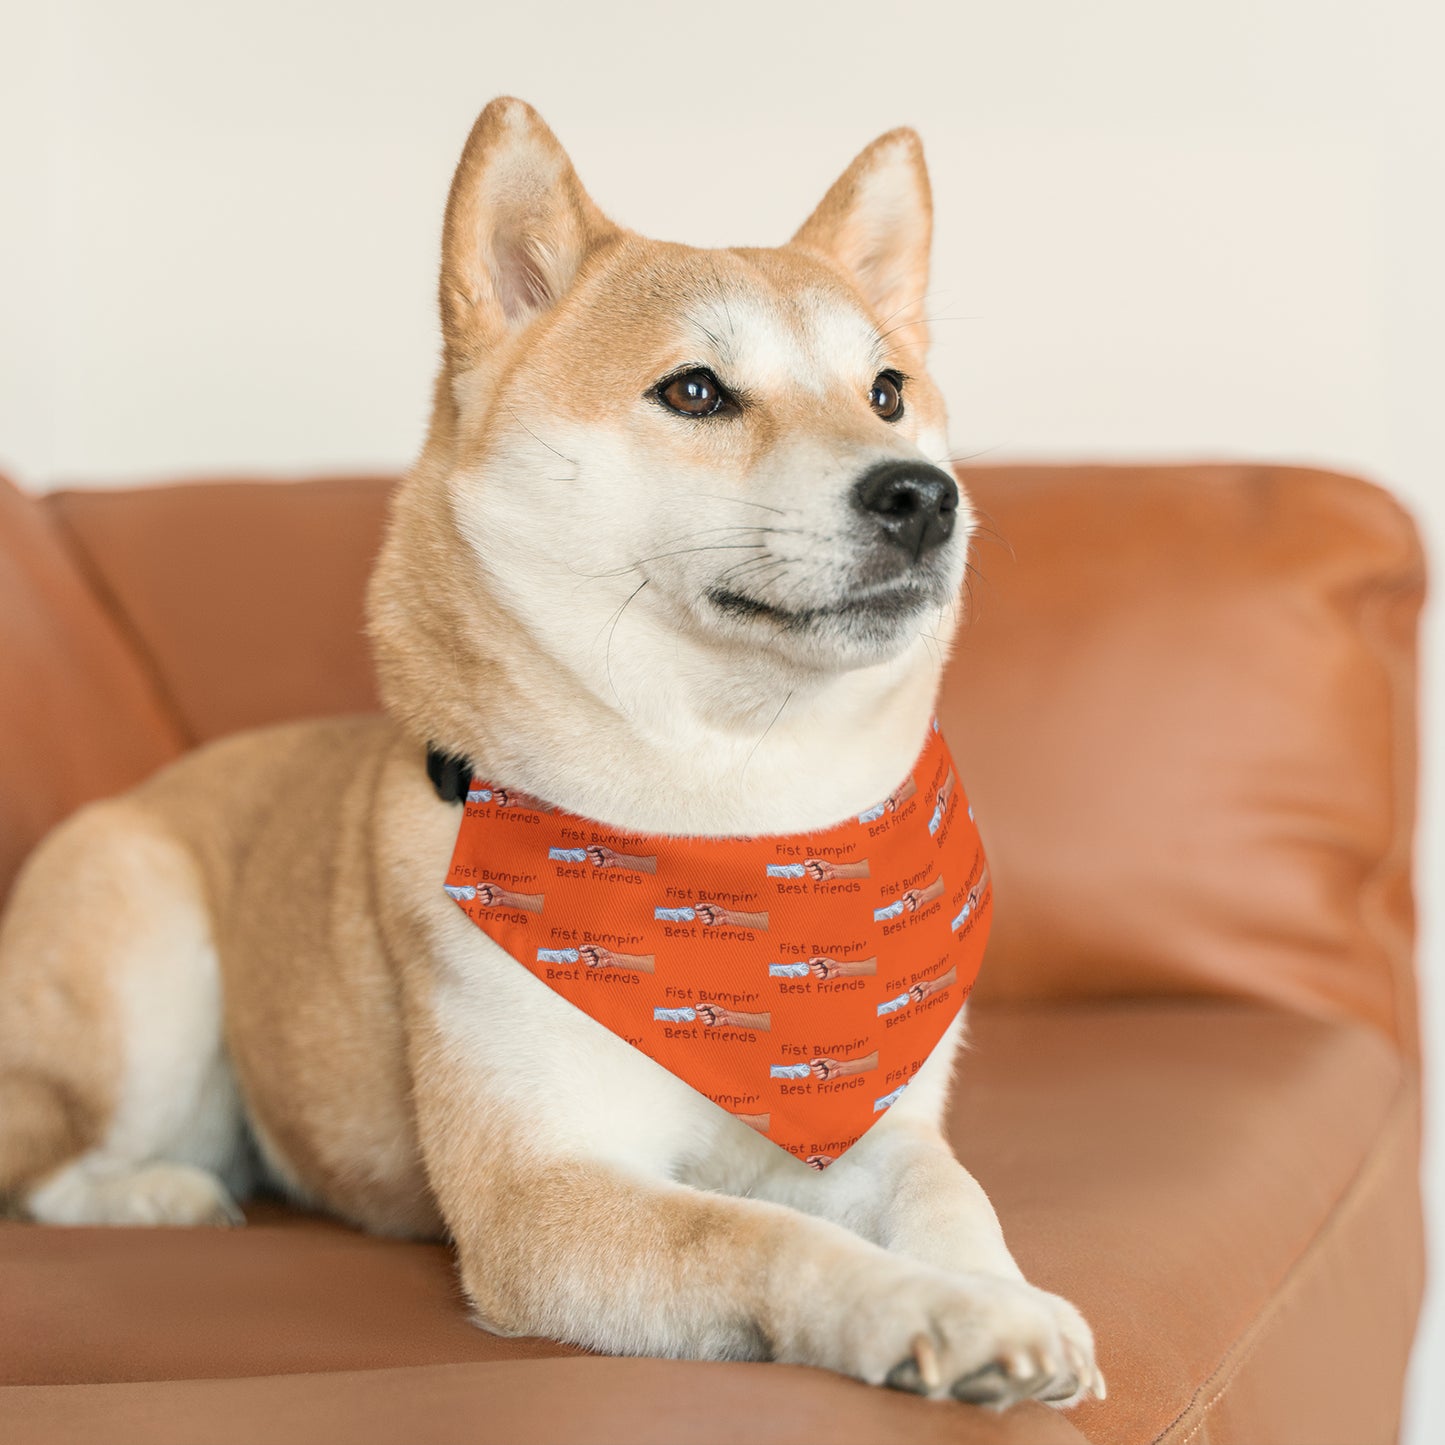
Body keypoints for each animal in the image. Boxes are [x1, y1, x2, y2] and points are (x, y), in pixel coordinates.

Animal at [0, 101, 1098, 1410]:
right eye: (694, 389)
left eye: (886, 390)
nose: (923, 496)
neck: (730, 817)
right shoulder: (541, 1195)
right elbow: (763, 1235)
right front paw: (928, 1309)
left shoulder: (872, 1118)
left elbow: (948, 1193)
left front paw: (999, 1293)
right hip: (145, 962)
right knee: (49, 1166)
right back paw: (162, 1192)